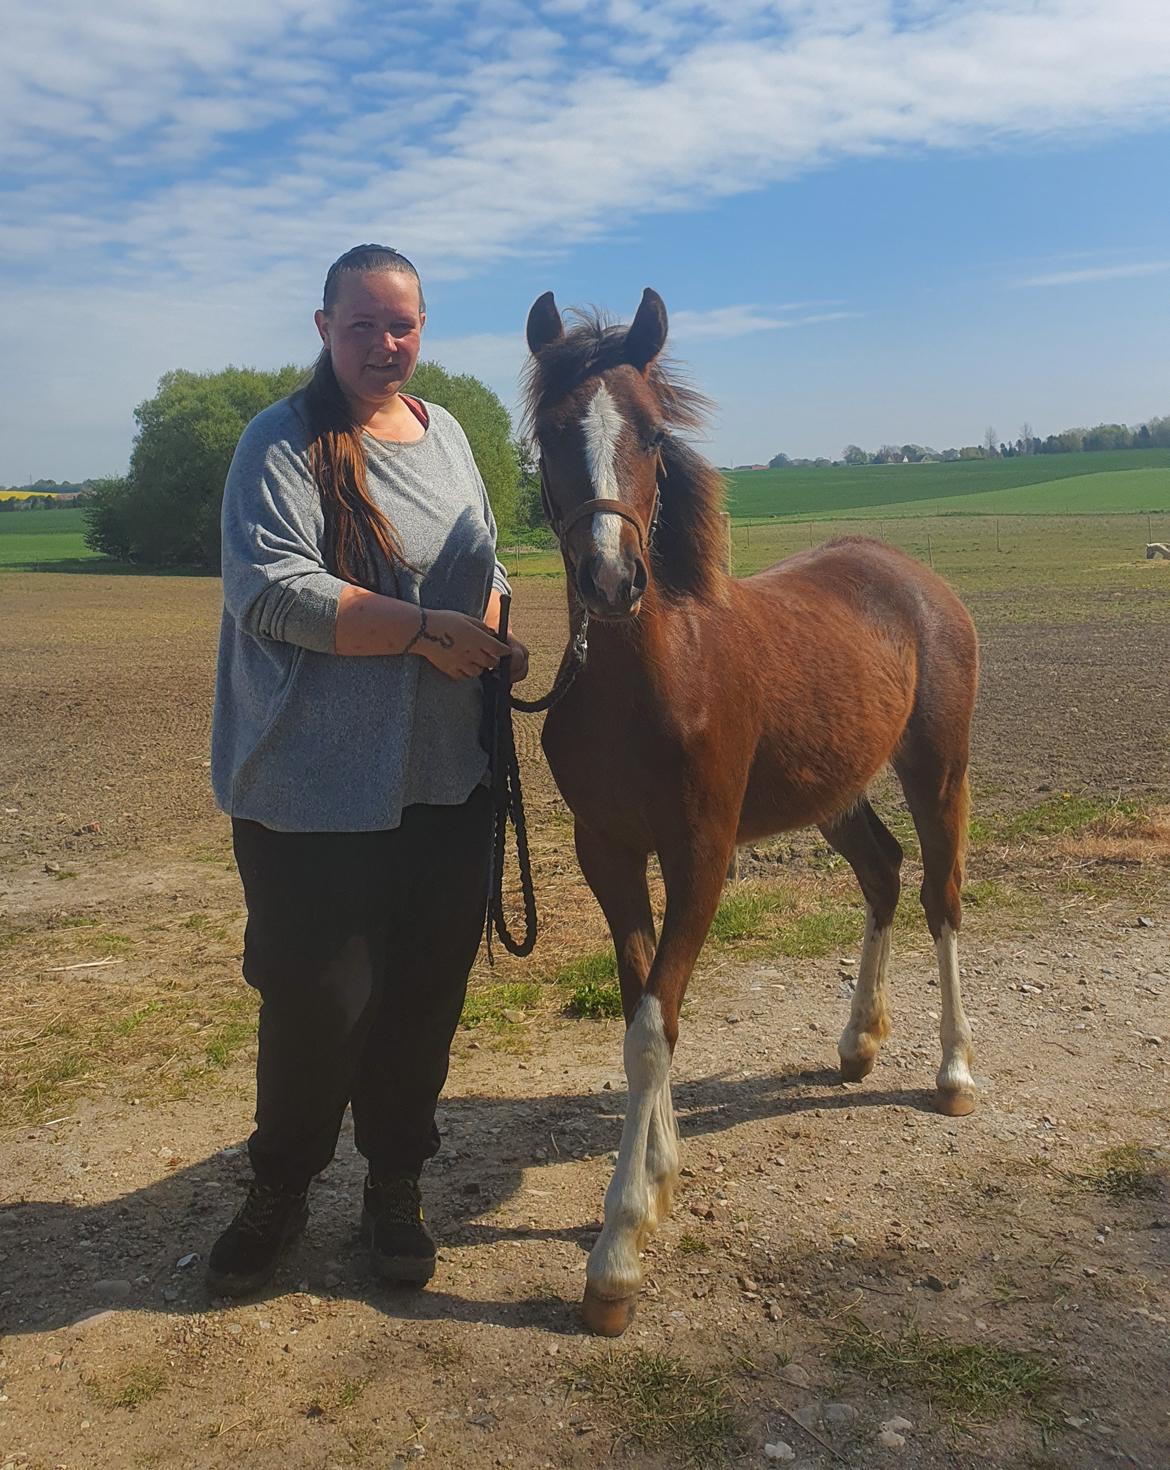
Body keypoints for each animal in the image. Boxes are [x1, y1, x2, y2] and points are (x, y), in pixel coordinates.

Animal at [524, 287, 980, 1337]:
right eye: (550, 433)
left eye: (652, 433)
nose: (611, 580)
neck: (647, 676)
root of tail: (914, 578)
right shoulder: (608, 852)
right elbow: (644, 1008)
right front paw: (658, 1177)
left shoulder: (703, 851)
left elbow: (656, 1022)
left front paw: (618, 1252)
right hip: (833, 791)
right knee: (884, 872)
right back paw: (858, 1044)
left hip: (937, 771)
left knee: (941, 896)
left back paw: (953, 1074)